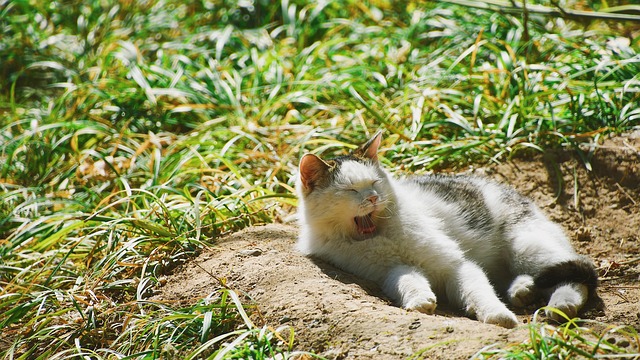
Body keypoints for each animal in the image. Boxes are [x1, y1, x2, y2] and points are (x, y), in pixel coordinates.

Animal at [296, 131, 600, 330]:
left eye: (374, 183)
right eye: (350, 190)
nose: (372, 198)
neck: (379, 236)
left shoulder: (457, 264)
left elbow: (478, 292)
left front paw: (497, 315)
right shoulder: (385, 270)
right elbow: (406, 277)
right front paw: (419, 299)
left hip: (526, 246)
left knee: (577, 271)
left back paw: (560, 304)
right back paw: (523, 289)